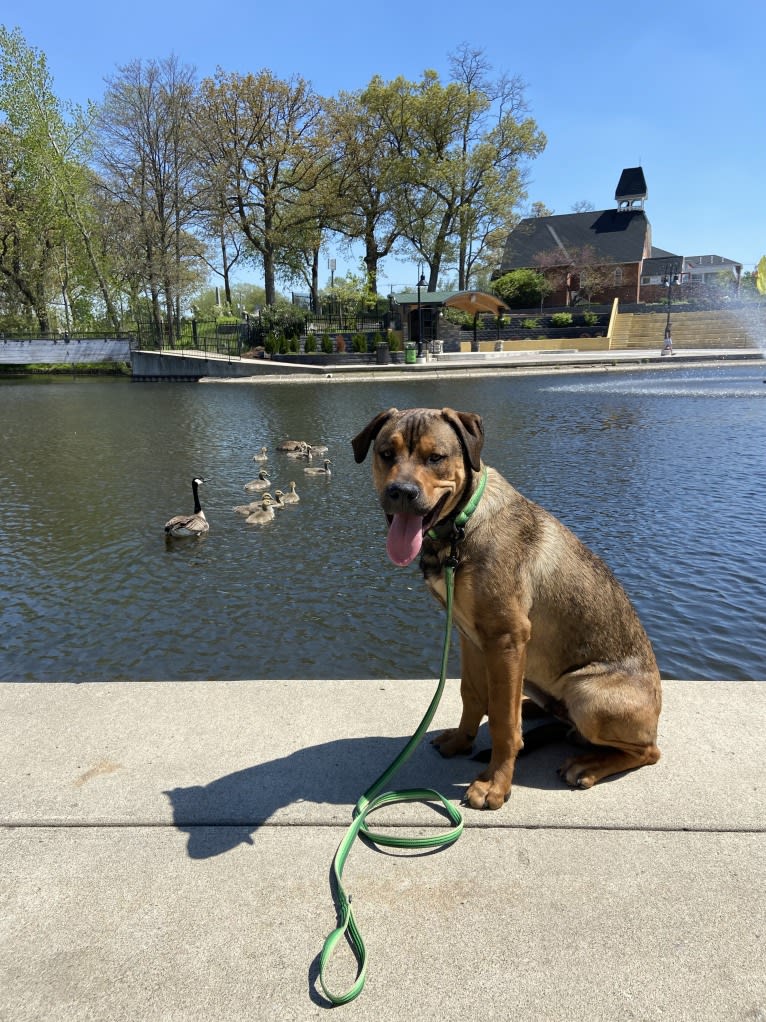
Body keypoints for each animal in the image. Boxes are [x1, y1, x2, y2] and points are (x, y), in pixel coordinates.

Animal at [351, 402, 661, 809]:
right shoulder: (469, 636)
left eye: (436, 458)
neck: (459, 529)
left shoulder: (507, 637)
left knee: (647, 751)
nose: (402, 492)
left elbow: (502, 721)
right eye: (387, 454)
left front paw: (494, 784)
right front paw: (460, 741)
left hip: (587, 693)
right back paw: (537, 709)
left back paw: (588, 764)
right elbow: (472, 695)